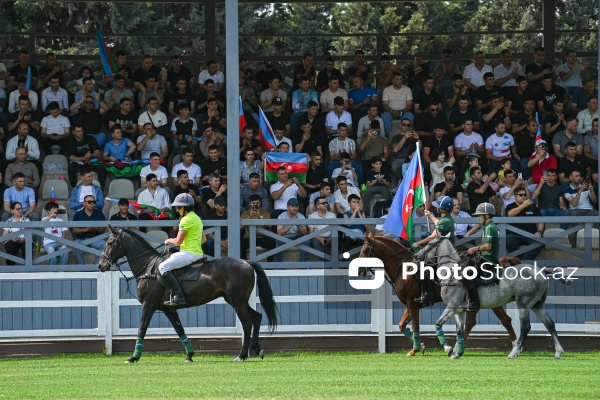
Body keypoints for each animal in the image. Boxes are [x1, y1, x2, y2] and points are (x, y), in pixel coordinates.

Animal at [97, 227, 278, 364]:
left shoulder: (148, 305)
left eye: (110, 242)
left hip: (237, 301)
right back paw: (257, 349)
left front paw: (133, 357)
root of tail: (246, 262)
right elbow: (179, 329)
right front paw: (190, 355)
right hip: (236, 300)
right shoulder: (168, 309)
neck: (149, 268)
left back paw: (242, 355)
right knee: (257, 317)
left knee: (247, 323)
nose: (100, 265)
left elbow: (142, 328)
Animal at [358, 234, 516, 356]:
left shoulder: (412, 303)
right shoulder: (412, 303)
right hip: (491, 302)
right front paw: (420, 346)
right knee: (505, 320)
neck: (404, 268)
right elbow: (402, 325)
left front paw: (416, 349)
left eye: (365, 250)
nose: (359, 270)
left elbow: (415, 326)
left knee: (478, 322)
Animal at [414, 236, 564, 360]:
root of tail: (542, 271)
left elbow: (438, 323)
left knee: (525, 327)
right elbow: (459, 330)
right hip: (537, 304)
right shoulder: (459, 310)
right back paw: (558, 352)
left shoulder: (452, 306)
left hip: (524, 303)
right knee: (549, 324)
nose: (416, 255)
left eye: (429, 243)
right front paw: (457, 353)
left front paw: (448, 349)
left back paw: (513, 353)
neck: (451, 271)